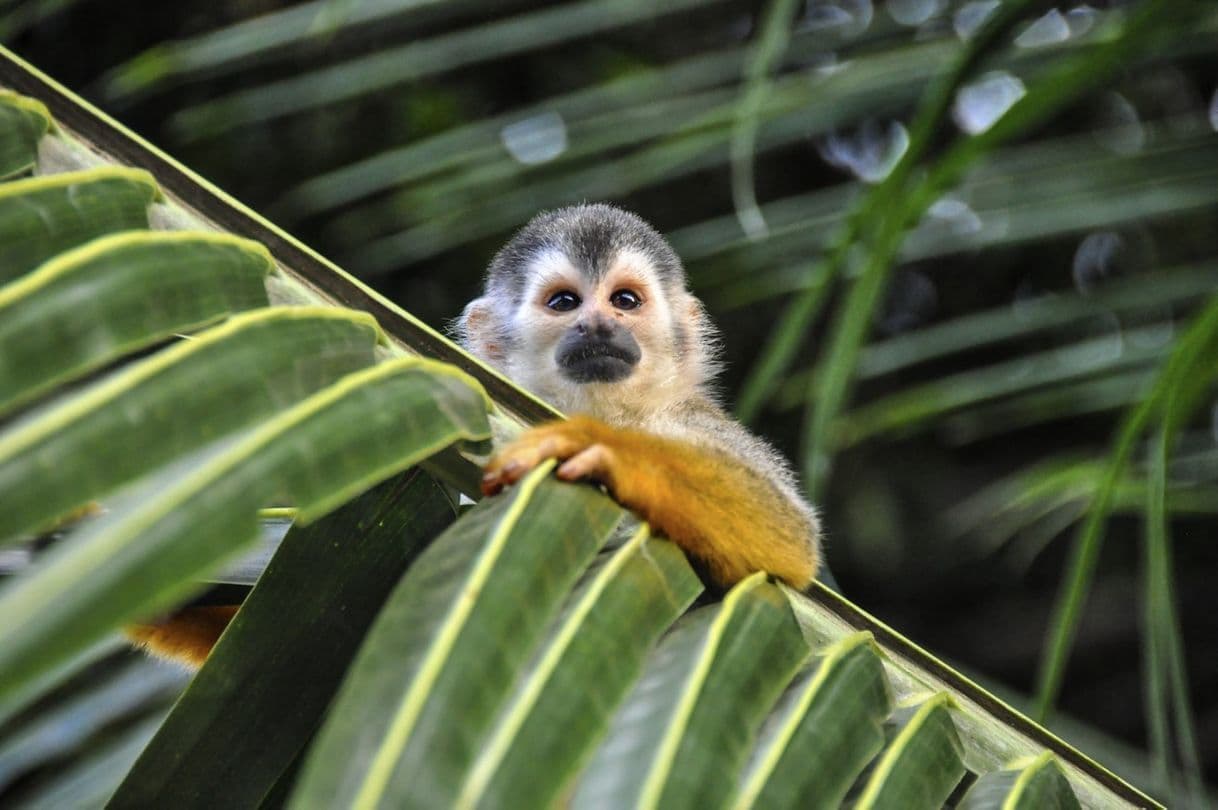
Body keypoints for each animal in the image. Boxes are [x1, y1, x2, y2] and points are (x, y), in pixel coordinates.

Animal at [460, 202, 823, 587]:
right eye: (564, 302)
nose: (598, 325)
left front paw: (603, 447)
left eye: (625, 300)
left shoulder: (692, 416)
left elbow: (792, 536)